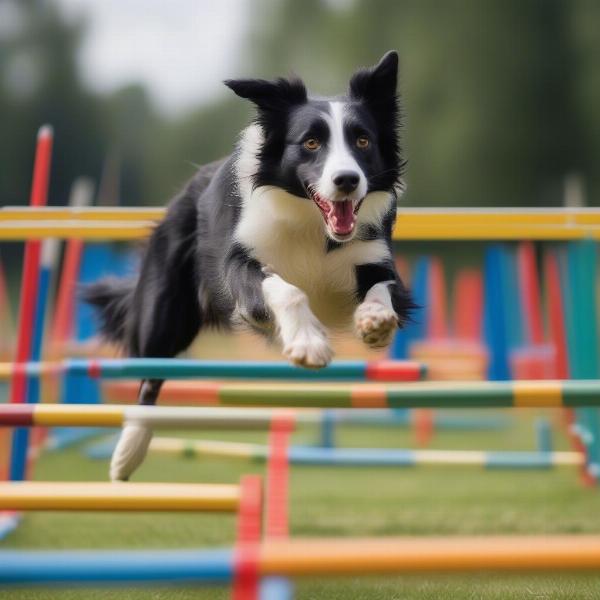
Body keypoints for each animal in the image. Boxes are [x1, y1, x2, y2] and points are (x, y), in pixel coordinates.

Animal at [83, 52, 412, 482]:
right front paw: (308, 342)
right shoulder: (241, 265)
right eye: (310, 142)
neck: (313, 225)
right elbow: (287, 290)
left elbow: (382, 289)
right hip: (164, 312)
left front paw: (375, 320)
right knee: (149, 376)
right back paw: (127, 455)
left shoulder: (374, 258)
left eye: (362, 140)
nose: (346, 180)